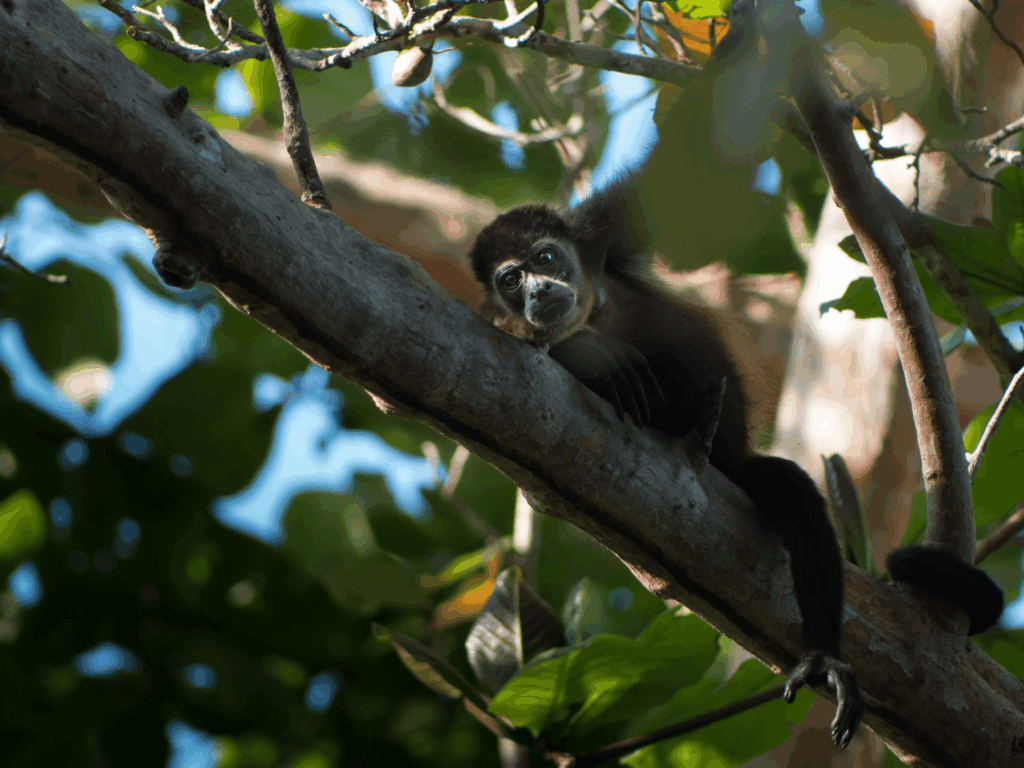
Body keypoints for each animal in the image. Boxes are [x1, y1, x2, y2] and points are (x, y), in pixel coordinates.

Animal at [469, 179, 1004, 749]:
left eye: (544, 258)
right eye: (510, 280)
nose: (536, 292)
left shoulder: (602, 232)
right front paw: (593, 354)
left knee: (792, 490)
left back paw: (820, 659)